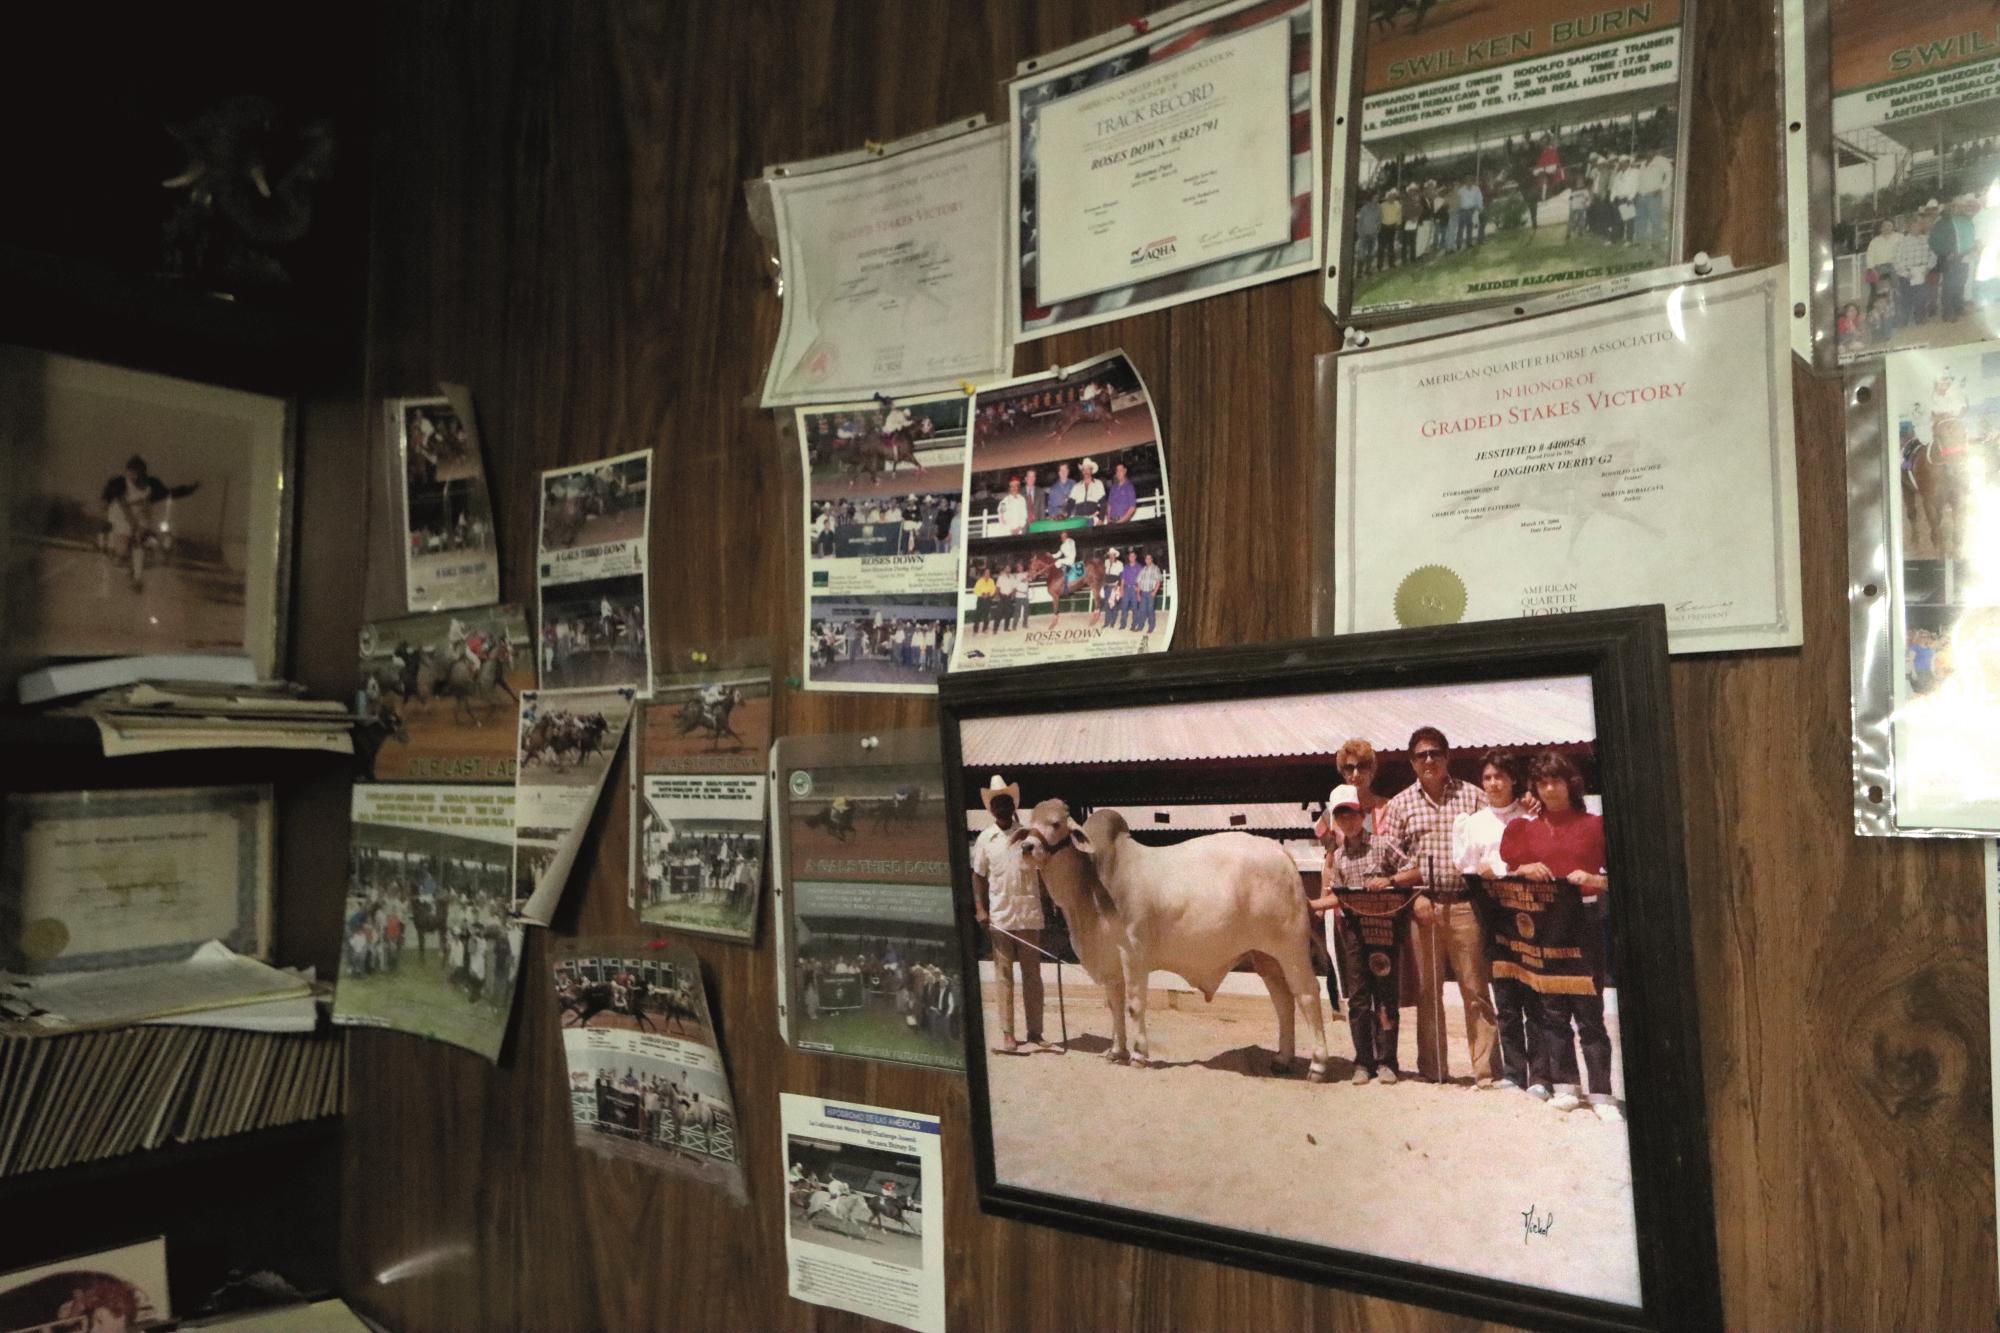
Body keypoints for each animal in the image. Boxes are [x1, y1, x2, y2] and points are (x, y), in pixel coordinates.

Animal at [1016, 792, 1328, 1072]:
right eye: (1030, 822)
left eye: (1056, 823)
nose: (1027, 847)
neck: (1091, 882)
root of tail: (1282, 854)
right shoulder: (1111, 962)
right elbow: (1115, 1004)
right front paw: (1116, 1051)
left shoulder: (1134, 954)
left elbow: (1134, 1004)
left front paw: (1139, 1054)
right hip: (1265, 956)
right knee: (1283, 1001)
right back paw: (1282, 1059)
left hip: (1291, 949)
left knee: (1307, 993)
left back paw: (1318, 1064)